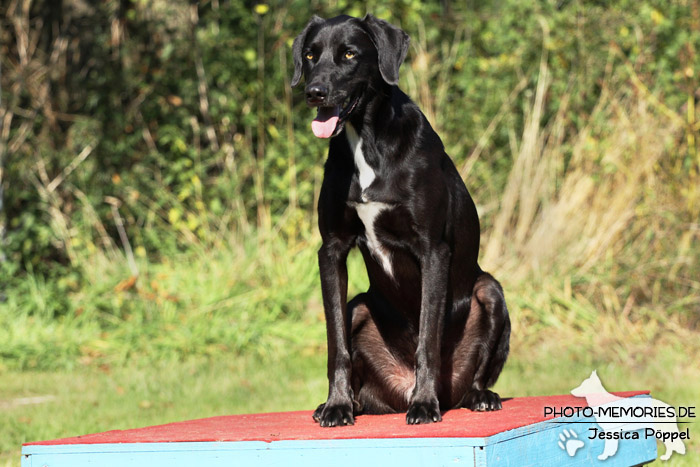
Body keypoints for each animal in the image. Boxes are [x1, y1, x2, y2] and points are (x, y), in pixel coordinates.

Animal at [292, 14, 512, 426]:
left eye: (349, 53)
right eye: (311, 55)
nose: (314, 92)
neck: (365, 141)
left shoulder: (432, 251)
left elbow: (428, 337)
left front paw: (424, 404)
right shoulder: (331, 250)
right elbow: (336, 346)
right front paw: (336, 405)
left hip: (490, 292)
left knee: (476, 374)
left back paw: (475, 397)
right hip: (360, 307)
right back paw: (352, 403)